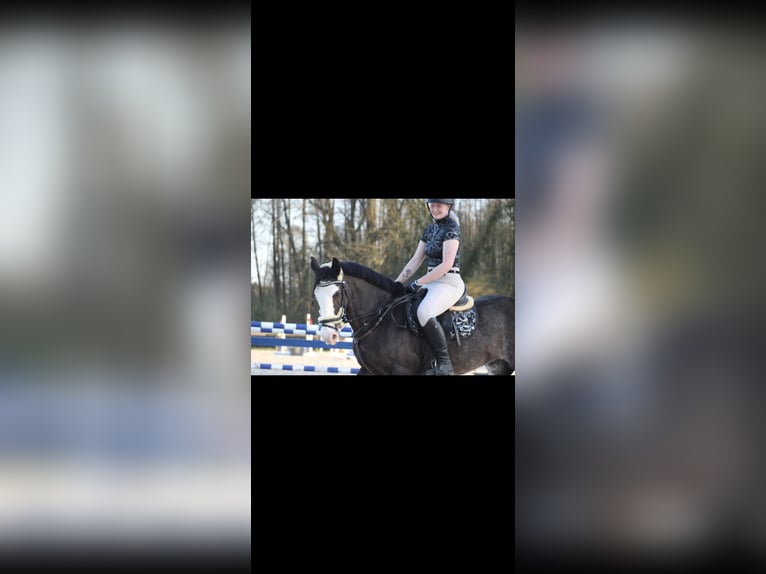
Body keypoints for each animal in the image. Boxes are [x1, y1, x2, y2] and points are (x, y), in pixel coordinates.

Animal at [310, 257, 514, 375]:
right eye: (316, 295)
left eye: (337, 294)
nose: (329, 336)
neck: (379, 320)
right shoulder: (369, 370)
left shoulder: (401, 370)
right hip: (499, 366)